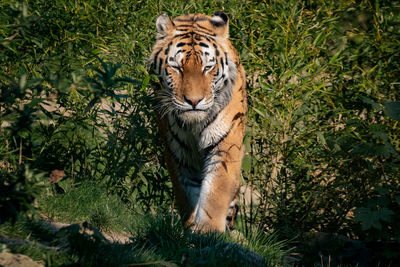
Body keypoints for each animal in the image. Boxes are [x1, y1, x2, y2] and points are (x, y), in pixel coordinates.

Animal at [148, 11, 245, 232]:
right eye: (176, 67)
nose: (193, 101)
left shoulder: (225, 147)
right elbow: (186, 194)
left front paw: (208, 231)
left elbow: (216, 192)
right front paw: (192, 228)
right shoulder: (178, 154)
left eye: (208, 67)